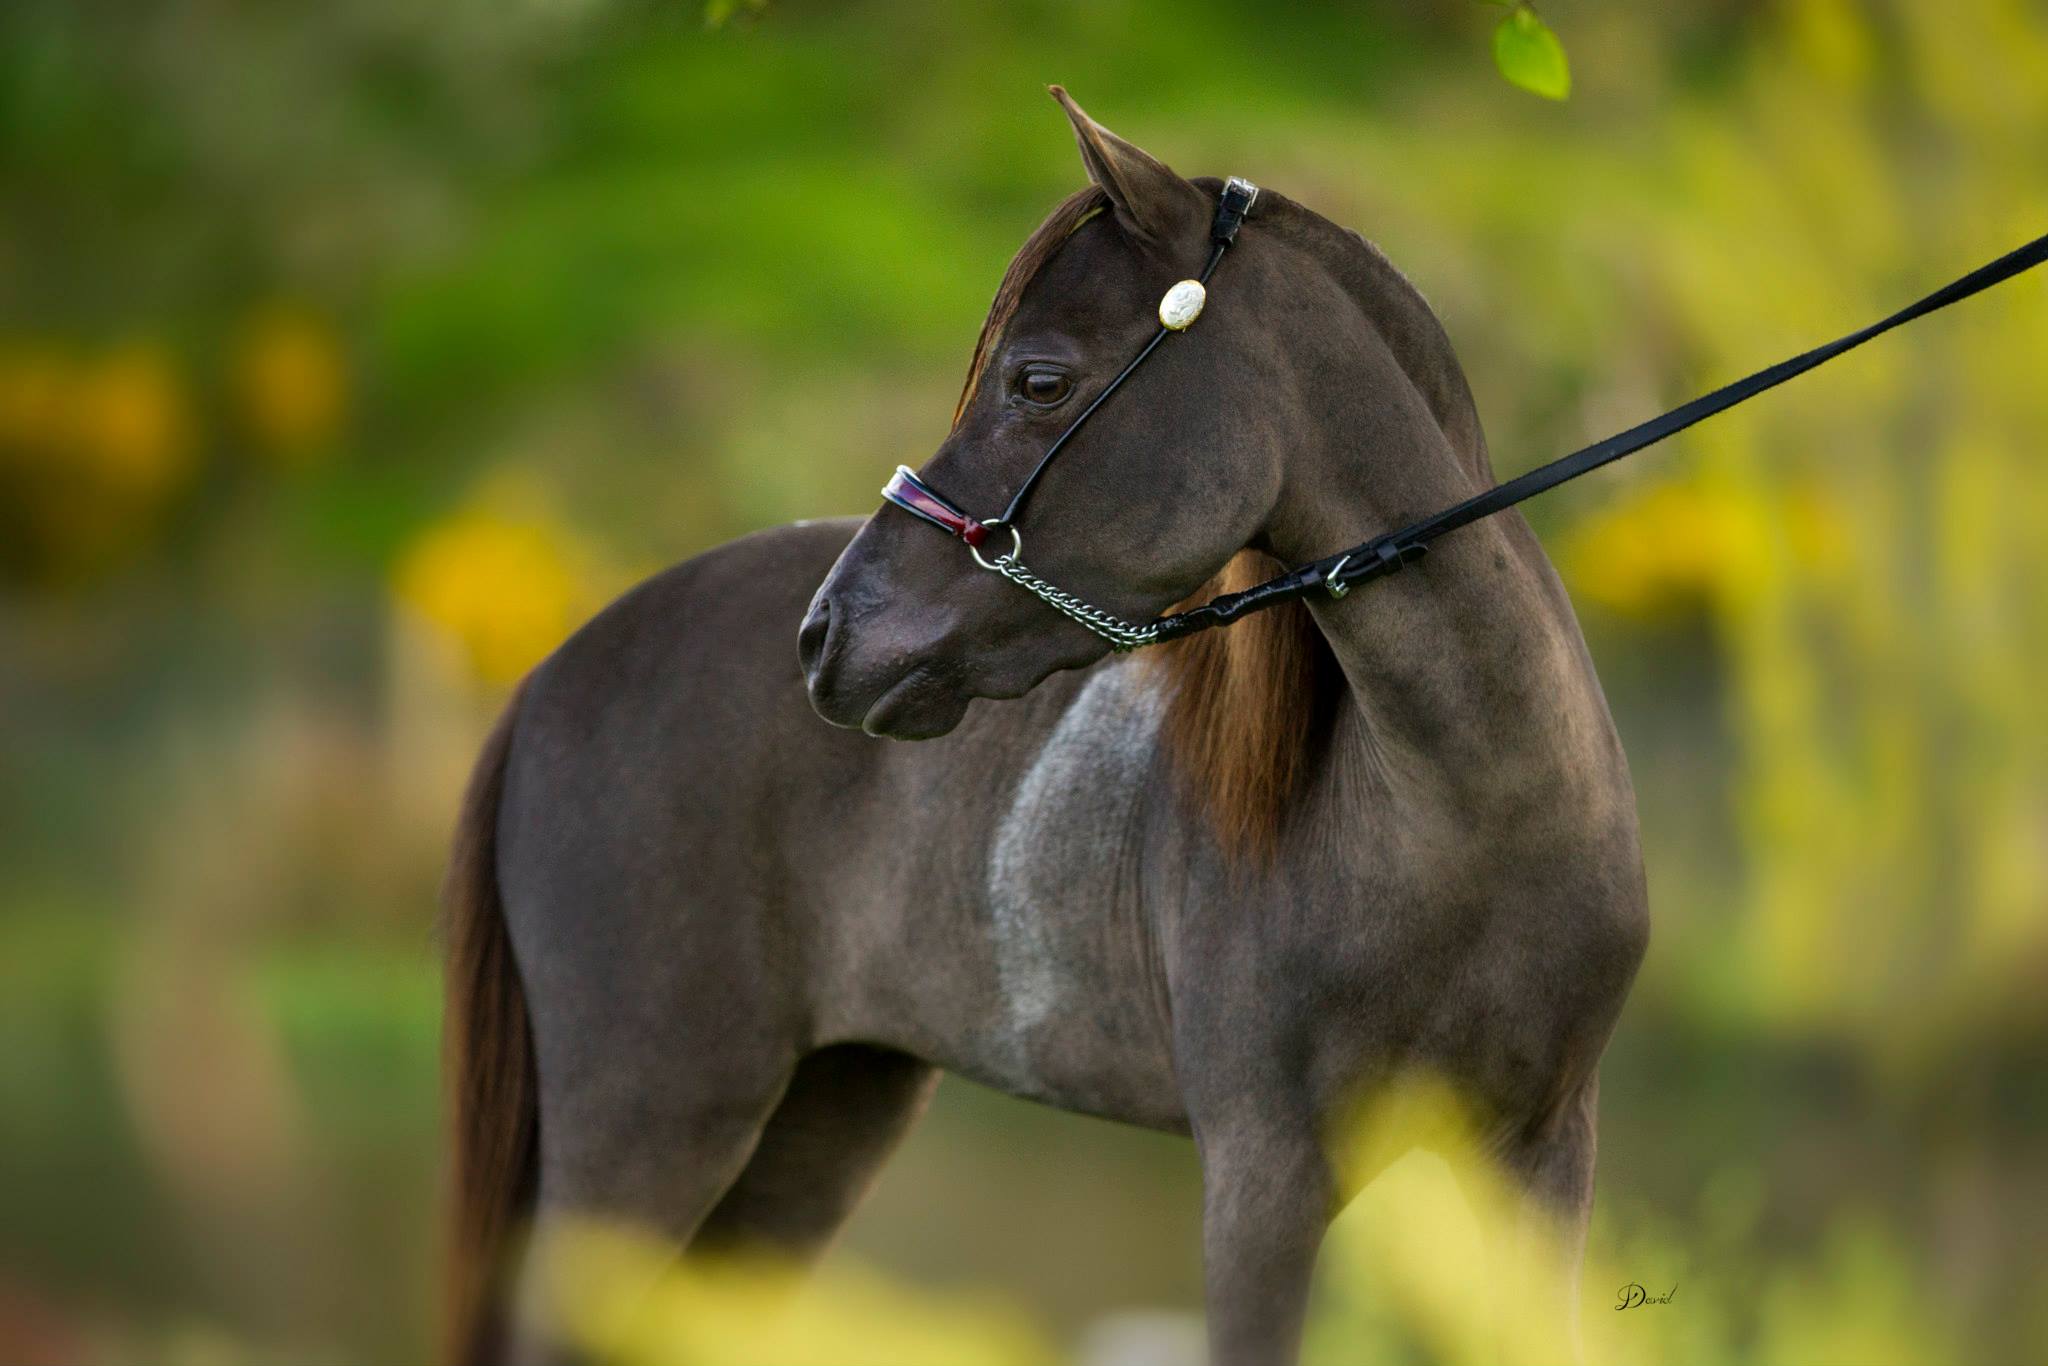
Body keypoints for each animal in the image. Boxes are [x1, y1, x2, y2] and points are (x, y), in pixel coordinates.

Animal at [442, 87, 1649, 1366]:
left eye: (1036, 382)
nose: (827, 635)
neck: (1466, 824)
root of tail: (552, 674)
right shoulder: (1264, 1179)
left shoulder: (1539, 1155)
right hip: (646, 1137)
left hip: (817, 1123)